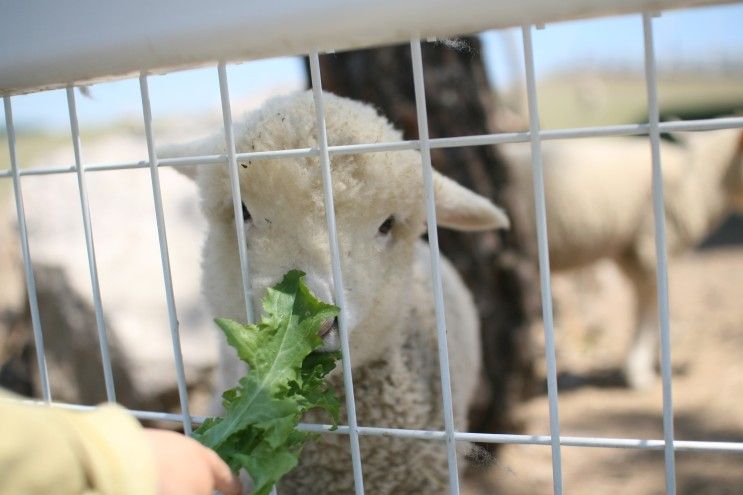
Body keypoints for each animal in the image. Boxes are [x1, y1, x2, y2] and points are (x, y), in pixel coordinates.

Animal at [502, 129, 740, 392]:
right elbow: (650, 306)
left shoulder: (628, 250)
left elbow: (644, 304)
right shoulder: (649, 244)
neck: (698, 180)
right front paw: (639, 371)